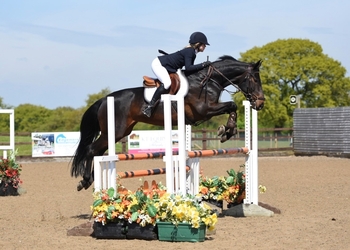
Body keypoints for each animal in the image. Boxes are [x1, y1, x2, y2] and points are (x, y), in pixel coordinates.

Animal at [71, 55, 266, 190]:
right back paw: (86, 180)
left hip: (120, 132)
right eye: (255, 79)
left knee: (98, 152)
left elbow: (232, 107)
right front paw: (226, 130)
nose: (260, 103)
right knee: (92, 150)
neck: (207, 81)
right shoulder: (204, 110)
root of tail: (104, 99)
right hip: (115, 131)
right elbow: (232, 105)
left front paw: (227, 131)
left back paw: (90, 179)